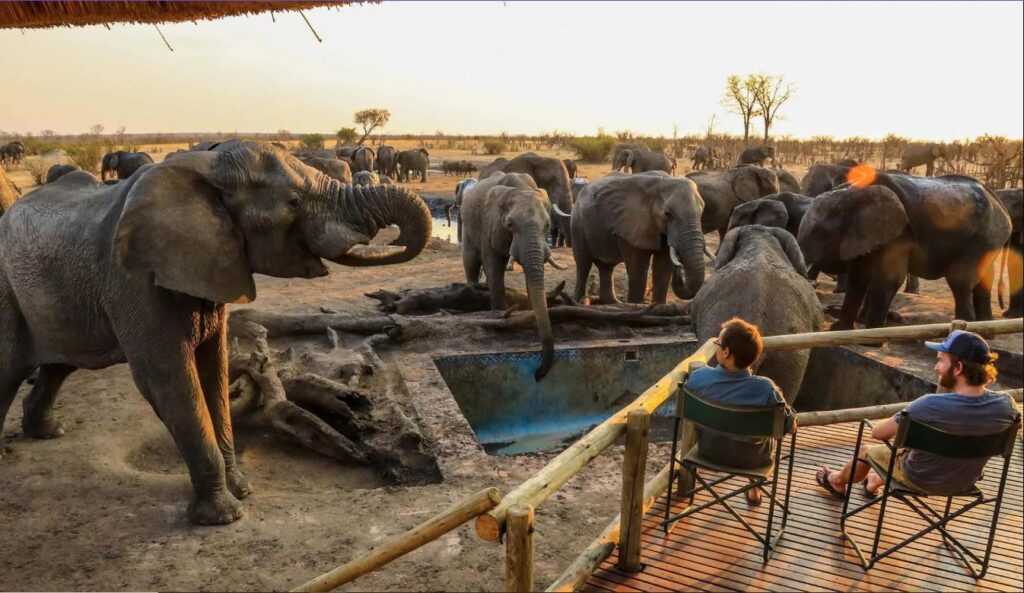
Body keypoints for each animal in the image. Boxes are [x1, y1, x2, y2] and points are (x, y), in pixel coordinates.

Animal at [0, 141, 432, 525]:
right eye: (293, 202)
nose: (394, 240)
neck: (205, 168)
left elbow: (214, 369)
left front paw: (241, 488)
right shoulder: (133, 280)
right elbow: (169, 378)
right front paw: (224, 515)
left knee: (59, 364)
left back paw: (48, 431)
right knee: (11, 368)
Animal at [460, 172, 561, 380]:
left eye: (547, 225)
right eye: (509, 224)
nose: (538, 374)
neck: (520, 188)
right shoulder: (489, 224)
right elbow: (494, 269)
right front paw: (499, 314)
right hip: (468, 224)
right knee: (471, 262)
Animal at [570, 171, 706, 305]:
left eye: (702, 212)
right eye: (668, 214)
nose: (679, 266)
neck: (662, 183)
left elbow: (662, 271)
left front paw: (657, 306)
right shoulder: (631, 224)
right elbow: (638, 271)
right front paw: (635, 305)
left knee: (606, 267)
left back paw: (612, 303)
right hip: (578, 224)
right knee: (583, 264)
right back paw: (578, 301)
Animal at [798, 173, 1011, 330]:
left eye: (823, 233)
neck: (851, 191)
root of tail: (999, 202)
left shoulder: (900, 234)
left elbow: (888, 278)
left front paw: (871, 337)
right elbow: (858, 278)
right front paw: (840, 330)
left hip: (983, 238)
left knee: (960, 280)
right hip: (989, 240)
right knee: (983, 281)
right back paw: (984, 330)